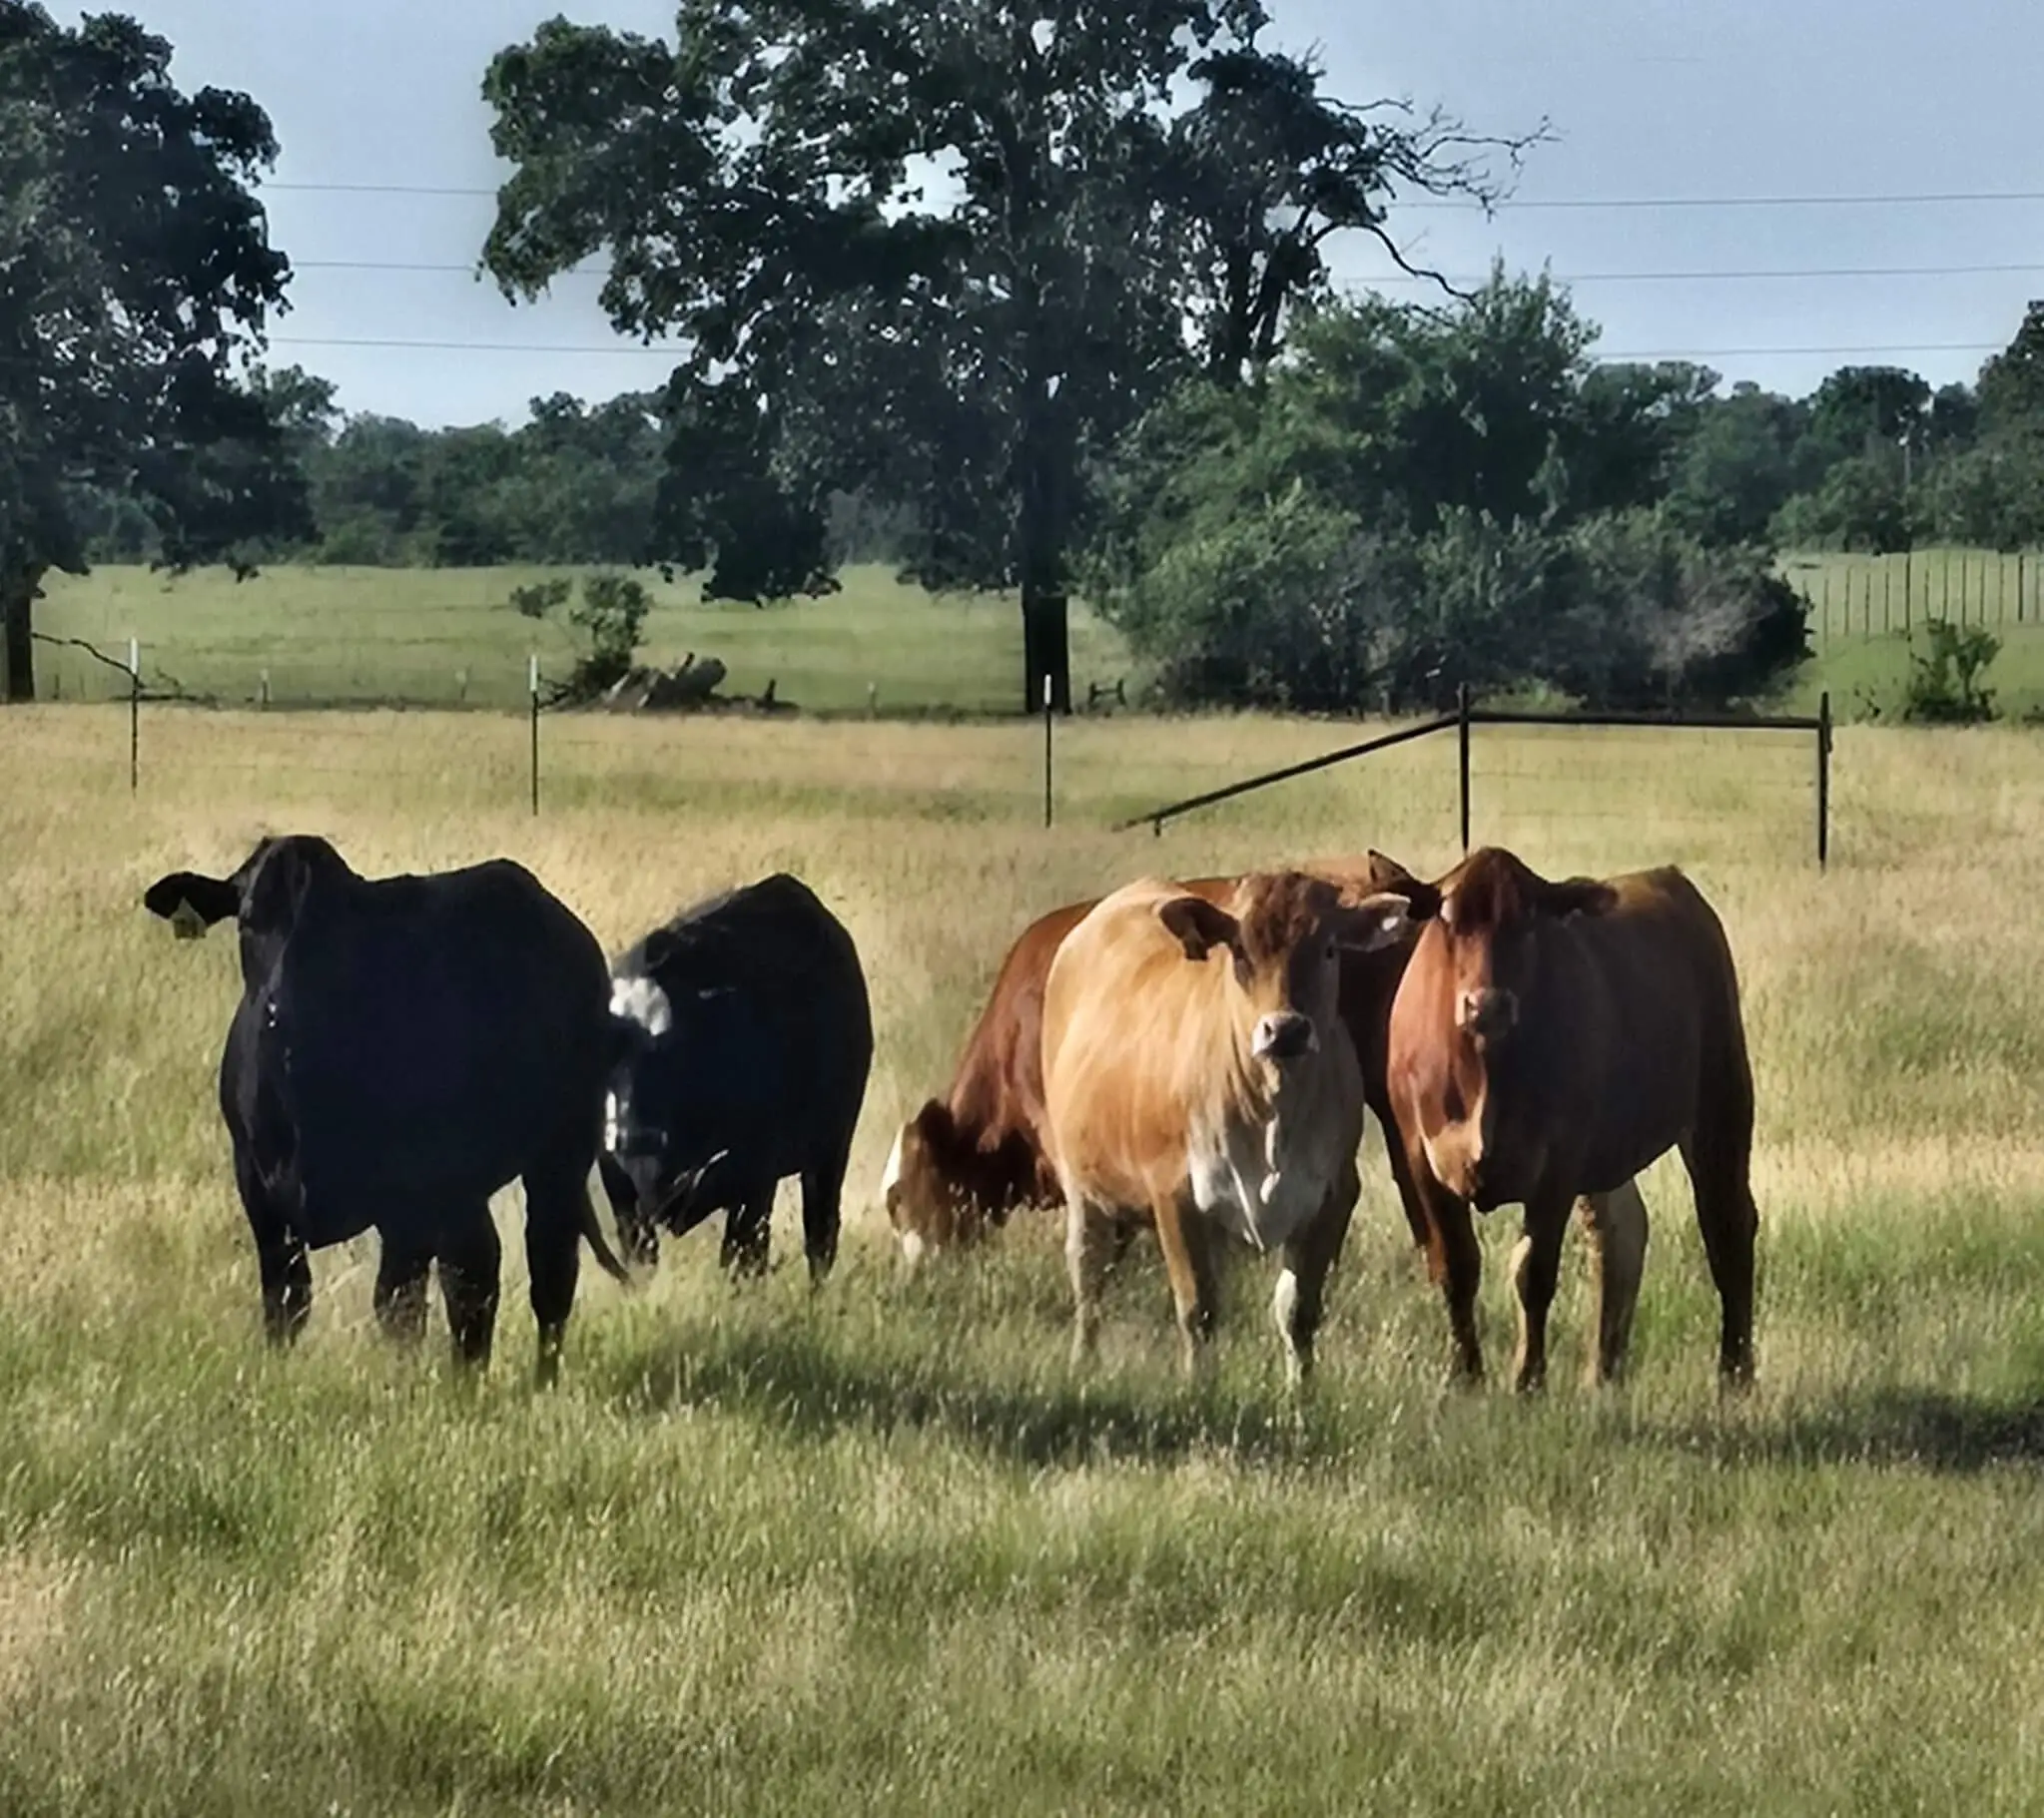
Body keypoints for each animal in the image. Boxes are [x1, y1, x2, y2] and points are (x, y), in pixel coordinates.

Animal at [141, 835, 631, 1386]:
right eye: (248, 921)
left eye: (340, 933)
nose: (278, 1009)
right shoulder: (259, 1188)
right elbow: (287, 1299)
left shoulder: (413, 1194)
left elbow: (403, 1302)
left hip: (555, 1156)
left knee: (535, 1273)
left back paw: (526, 1382)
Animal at [599, 873, 873, 1282]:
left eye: (674, 1047)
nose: (633, 1138)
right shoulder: (620, 1191)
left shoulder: (755, 1176)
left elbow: (743, 1257)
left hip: (831, 1149)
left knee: (820, 1235)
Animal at [1040, 870, 1416, 1384]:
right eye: (1239, 951)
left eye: (1329, 949)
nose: (1285, 1030)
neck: (1272, 1120)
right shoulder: (1175, 1195)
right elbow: (1197, 1308)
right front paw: (1199, 1388)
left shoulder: (1334, 1196)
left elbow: (1297, 1311)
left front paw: (1300, 1392)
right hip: (1084, 1190)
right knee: (1089, 1279)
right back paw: (1082, 1361)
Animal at [1381, 845, 1759, 1393]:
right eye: (1449, 919)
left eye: (1528, 922)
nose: (1487, 1005)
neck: (1485, 1073)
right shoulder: (1420, 1157)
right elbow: (1456, 1266)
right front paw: (1466, 1375)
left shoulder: (1557, 1163)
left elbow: (1533, 1273)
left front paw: (1528, 1380)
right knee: (1619, 1233)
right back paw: (1602, 1372)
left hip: (1721, 1103)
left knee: (1727, 1225)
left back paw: (1735, 1371)